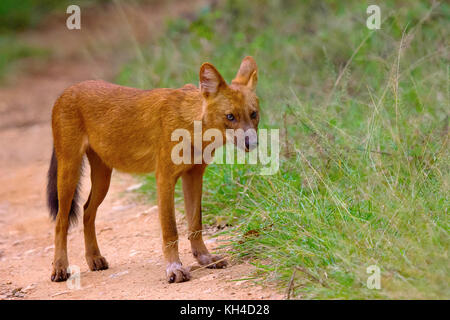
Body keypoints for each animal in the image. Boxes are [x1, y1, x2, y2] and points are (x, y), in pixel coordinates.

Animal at [47, 57, 258, 282]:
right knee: (61, 221)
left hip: (103, 177)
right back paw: (60, 268)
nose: (252, 143)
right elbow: (170, 229)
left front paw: (205, 258)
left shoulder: (194, 175)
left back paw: (94, 258)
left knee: (87, 211)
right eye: (230, 116)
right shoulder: (165, 177)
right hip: (69, 170)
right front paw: (174, 269)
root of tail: (66, 91)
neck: (191, 125)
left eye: (254, 114)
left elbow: (195, 223)